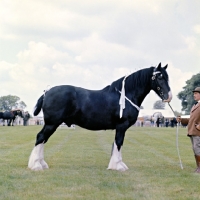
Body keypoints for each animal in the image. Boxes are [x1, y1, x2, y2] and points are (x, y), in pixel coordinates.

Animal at [27, 63, 172, 171]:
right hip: (52, 123)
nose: (169, 96)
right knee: (40, 138)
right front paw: (118, 166)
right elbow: (119, 143)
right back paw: (36, 165)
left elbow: (117, 144)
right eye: (159, 77)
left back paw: (41, 164)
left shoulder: (120, 128)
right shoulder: (121, 126)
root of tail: (46, 92)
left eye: (167, 77)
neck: (126, 95)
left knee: (43, 140)